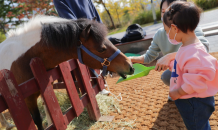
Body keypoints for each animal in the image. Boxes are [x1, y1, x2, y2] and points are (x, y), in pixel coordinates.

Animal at [0, 15, 134, 129]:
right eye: (102, 49)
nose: (130, 66)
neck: (24, 58)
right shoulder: (28, 100)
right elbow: (37, 120)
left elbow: (48, 112)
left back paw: (8, 125)